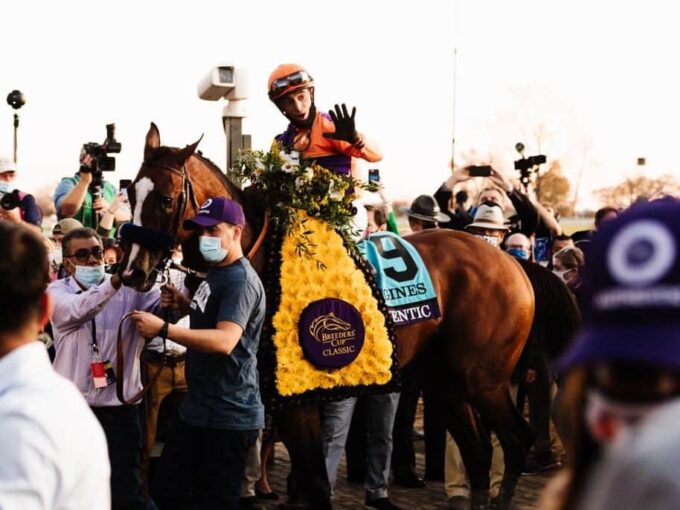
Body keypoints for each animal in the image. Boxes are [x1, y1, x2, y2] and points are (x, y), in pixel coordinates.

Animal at [118, 124, 536, 510]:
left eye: (166, 199)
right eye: (130, 193)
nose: (132, 271)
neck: (258, 257)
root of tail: (511, 263)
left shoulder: (299, 403)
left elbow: (318, 485)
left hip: (483, 379)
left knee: (516, 441)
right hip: (444, 381)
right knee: (479, 452)